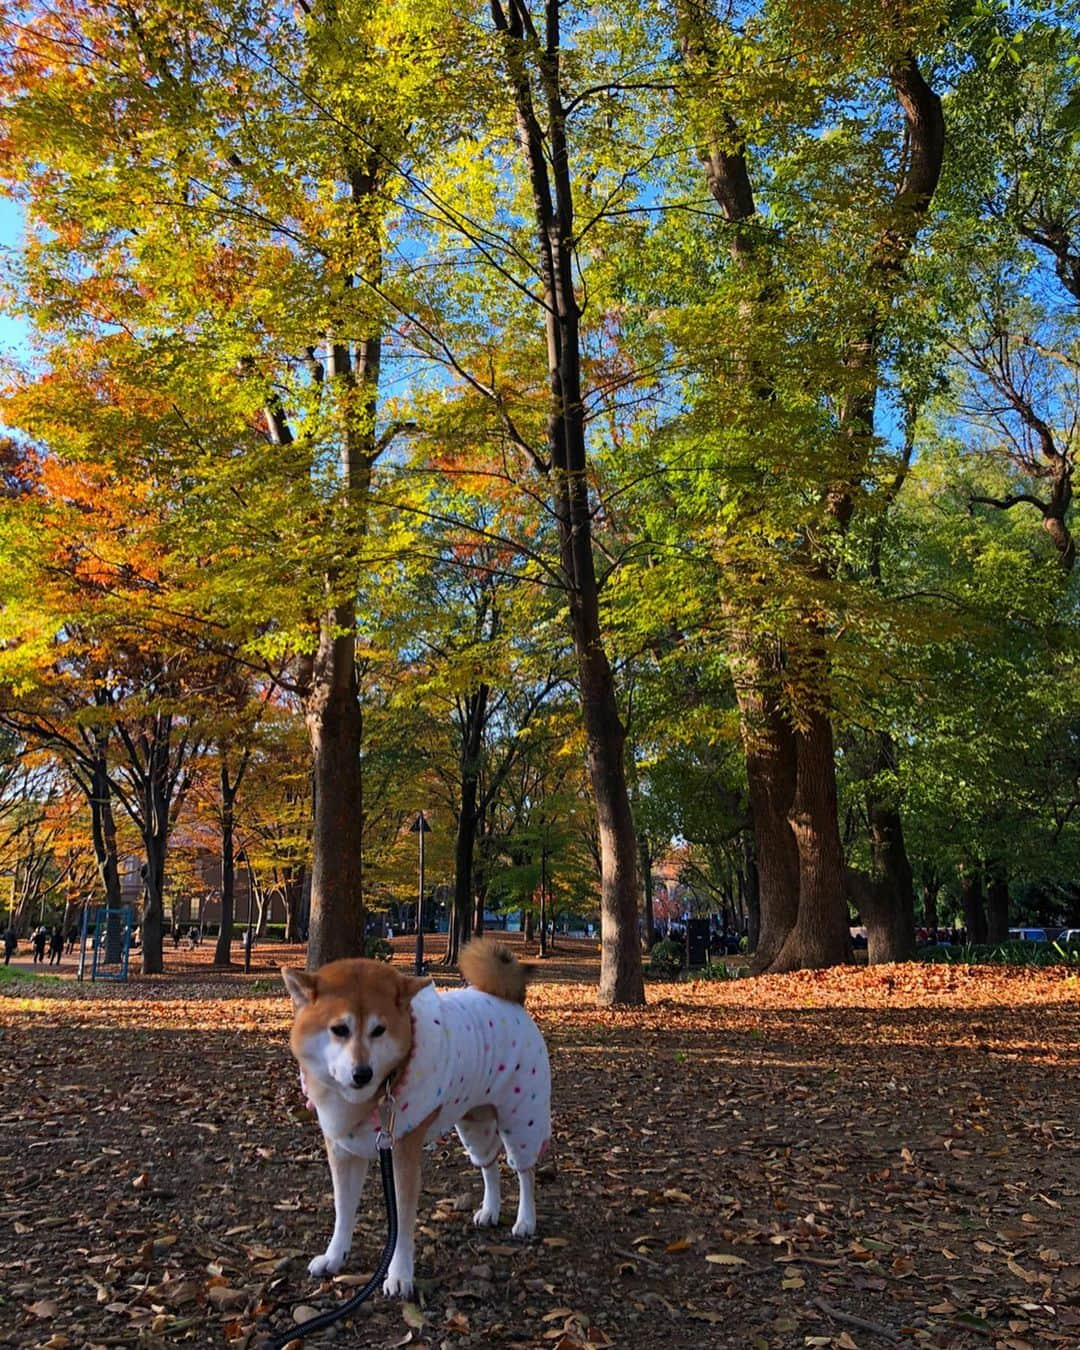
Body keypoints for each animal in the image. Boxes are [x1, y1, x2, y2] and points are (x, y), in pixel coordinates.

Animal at [280, 939, 548, 1296]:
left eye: (379, 1030)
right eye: (339, 1029)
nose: (362, 1073)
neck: (381, 1090)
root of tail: (510, 1002)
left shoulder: (402, 1155)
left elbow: (403, 1221)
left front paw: (399, 1274)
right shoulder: (343, 1151)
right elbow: (343, 1210)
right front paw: (334, 1257)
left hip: (521, 1119)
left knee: (525, 1172)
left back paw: (526, 1220)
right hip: (474, 1123)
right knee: (489, 1165)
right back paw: (490, 1210)